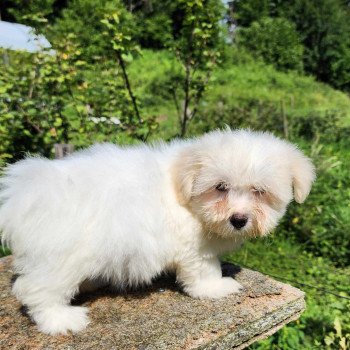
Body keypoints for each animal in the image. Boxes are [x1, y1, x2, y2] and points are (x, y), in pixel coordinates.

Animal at [0, 129, 314, 334]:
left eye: (259, 191)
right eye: (220, 187)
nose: (238, 219)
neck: (183, 190)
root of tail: (23, 194)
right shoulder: (194, 248)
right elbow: (204, 272)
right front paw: (217, 287)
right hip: (60, 255)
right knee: (36, 290)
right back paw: (61, 321)